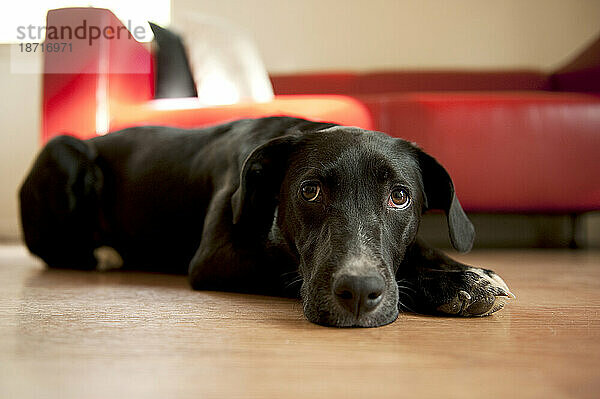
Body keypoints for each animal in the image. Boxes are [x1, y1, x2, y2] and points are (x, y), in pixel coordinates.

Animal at [21, 116, 512, 328]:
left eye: (399, 197)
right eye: (310, 191)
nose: (357, 293)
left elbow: (415, 249)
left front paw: (470, 275)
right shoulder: (216, 257)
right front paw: (449, 285)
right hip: (65, 150)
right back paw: (104, 254)